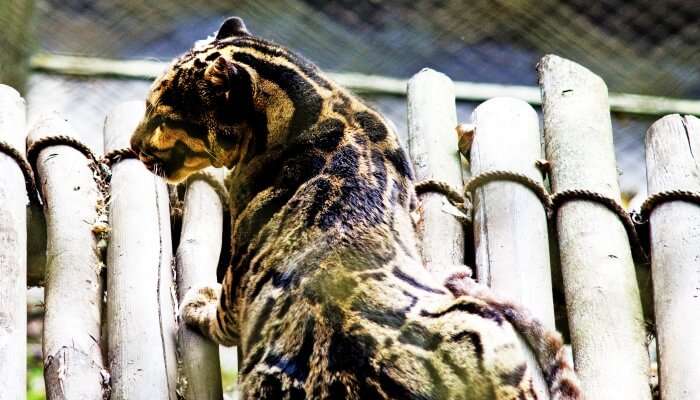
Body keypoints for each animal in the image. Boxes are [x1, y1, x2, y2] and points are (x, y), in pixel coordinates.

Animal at [130, 16, 580, 400]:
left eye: (160, 114)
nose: (134, 145)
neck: (320, 100)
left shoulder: (242, 269)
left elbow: (221, 310)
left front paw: (198, 301)